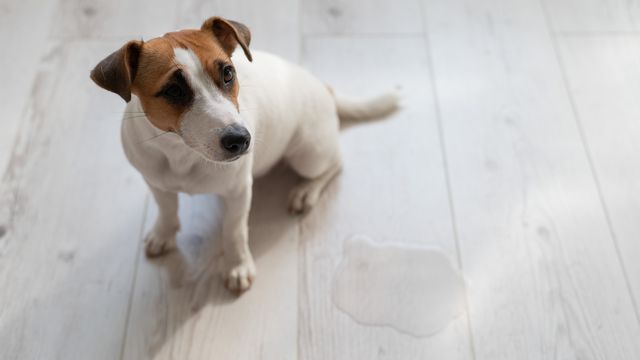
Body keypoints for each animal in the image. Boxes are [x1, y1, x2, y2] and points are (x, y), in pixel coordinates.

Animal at [90, 16, 398, 292]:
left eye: (228, 73)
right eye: (173, 90)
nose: (240, 139)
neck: (182, 153)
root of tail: (324, 88)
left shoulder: (239, 191)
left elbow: (234, 230)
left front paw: (238, 266)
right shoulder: (155, 182)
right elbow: (167, 209)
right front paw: (163, 233)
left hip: (308, 155)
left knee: (335, 163)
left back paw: (306, 191)